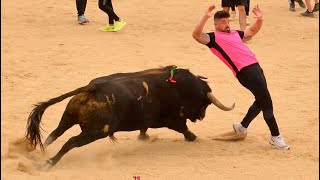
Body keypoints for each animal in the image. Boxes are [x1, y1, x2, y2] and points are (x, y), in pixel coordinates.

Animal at [25, 65, 234, 167]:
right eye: (205, 103)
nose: (202, 116)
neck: (183, 88)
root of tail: (93, 87)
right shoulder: (173, 119)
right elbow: (184, 128)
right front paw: (194, 137)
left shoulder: (146, 118)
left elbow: (144, 127)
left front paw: (143, 137)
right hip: (95, 132)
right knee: (70, 142)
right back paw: (48, 163)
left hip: (68, 118)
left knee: (54, 134)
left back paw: (34, 153)